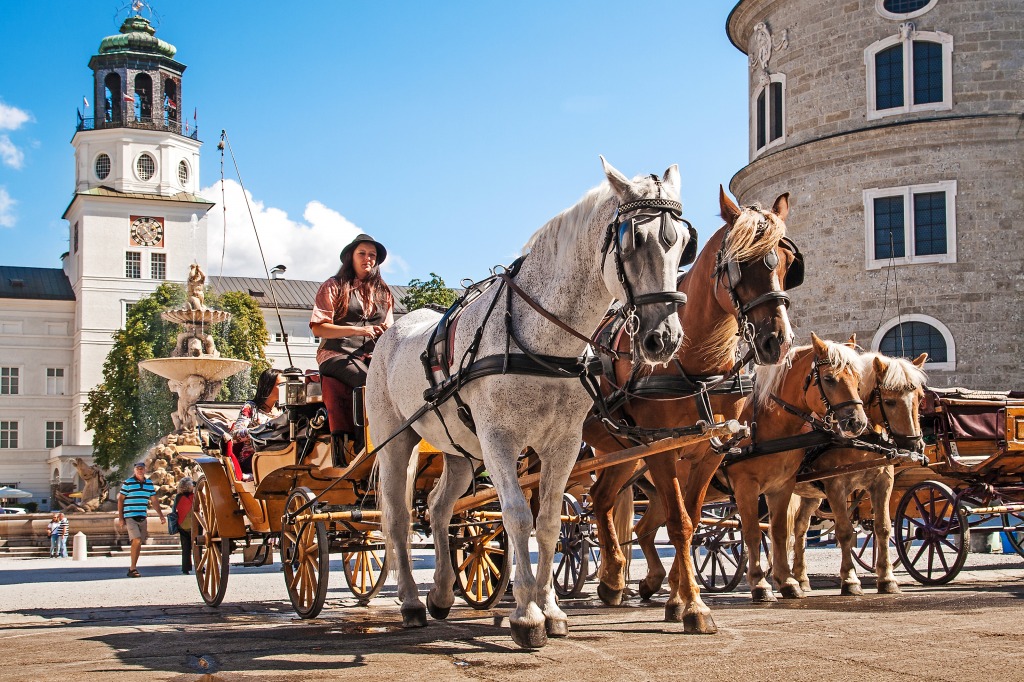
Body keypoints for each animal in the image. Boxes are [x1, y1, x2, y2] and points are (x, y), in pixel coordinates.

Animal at [364, 159, 692, 647]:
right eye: (634, 240)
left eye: (684, 244)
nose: (663, 338)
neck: (541, 340)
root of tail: (391, 333)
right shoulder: (500, 440)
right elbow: (517, 516)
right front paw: (526, 614)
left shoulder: (563, 444)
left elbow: (550, 522)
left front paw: (551, 608)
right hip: (395, 442)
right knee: (398, 519)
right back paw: (409, 602)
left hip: (459, 452)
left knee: (439, 509)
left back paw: (440, 594)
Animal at [581, 186, 794, 630]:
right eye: (738, 264)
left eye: (787, 262)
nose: (777, 342)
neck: (698, 369)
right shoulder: (662, 449)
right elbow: (677, 523)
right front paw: (694, 605)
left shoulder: (708, 451)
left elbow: (692, 520)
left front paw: (678, 598)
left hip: (623, 452)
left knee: (602, 499)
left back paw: (614, 579)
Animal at [790, 350, 929, 593]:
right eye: (889, 401)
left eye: (920, 398)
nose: (913, 446)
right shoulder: (836, 486)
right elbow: (844, 531)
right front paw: (850, 579)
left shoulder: (883, 482)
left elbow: (883, 528)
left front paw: (887, 578)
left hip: (810, 494)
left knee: (799, 528)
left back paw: (800, 578)